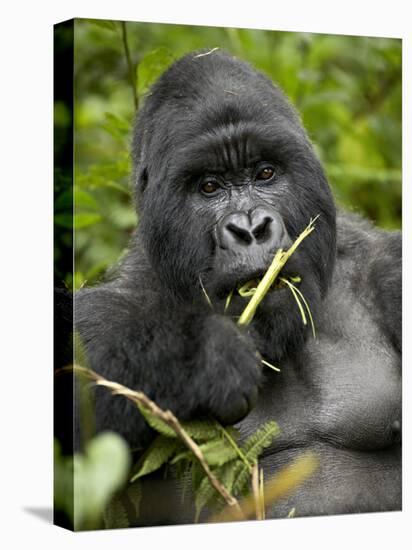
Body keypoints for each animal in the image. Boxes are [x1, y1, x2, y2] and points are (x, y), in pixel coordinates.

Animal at [75, 49, 402, 524]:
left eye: (265, 173)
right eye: (210, 186)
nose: (250, 228)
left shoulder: (389, 270)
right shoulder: (118, 299)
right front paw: (202, 356)